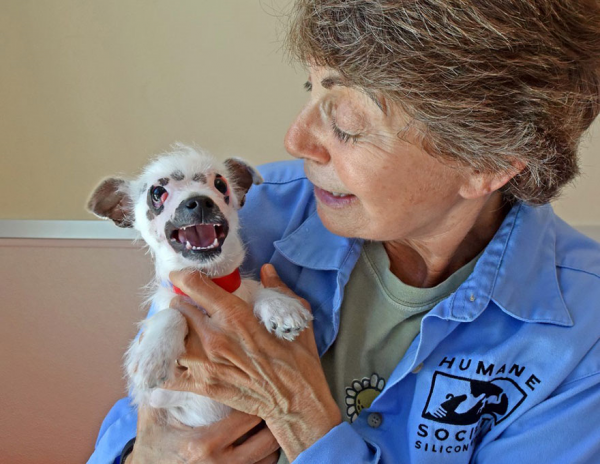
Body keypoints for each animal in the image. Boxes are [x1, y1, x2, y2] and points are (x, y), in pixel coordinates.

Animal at [86, 143, 312, 426]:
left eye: (221, 184)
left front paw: (280, 306)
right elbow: (172, 312)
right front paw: (153, 352)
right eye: (157, 193)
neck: (209, 280)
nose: (200, 201)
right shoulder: (158, 397)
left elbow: (256, 290)